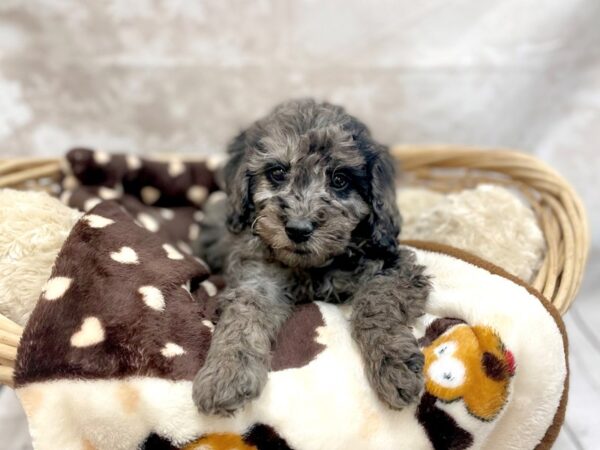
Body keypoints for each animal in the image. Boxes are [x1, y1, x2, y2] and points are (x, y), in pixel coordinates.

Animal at [195, 100, 428, 416]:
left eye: (340, 180)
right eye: (278, 173)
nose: (298, 229)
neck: (313, 266)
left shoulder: (394, 267)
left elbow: (376, 303)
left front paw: (394, 366)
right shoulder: (256, 277)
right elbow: (243, 316)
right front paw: (226, 373)